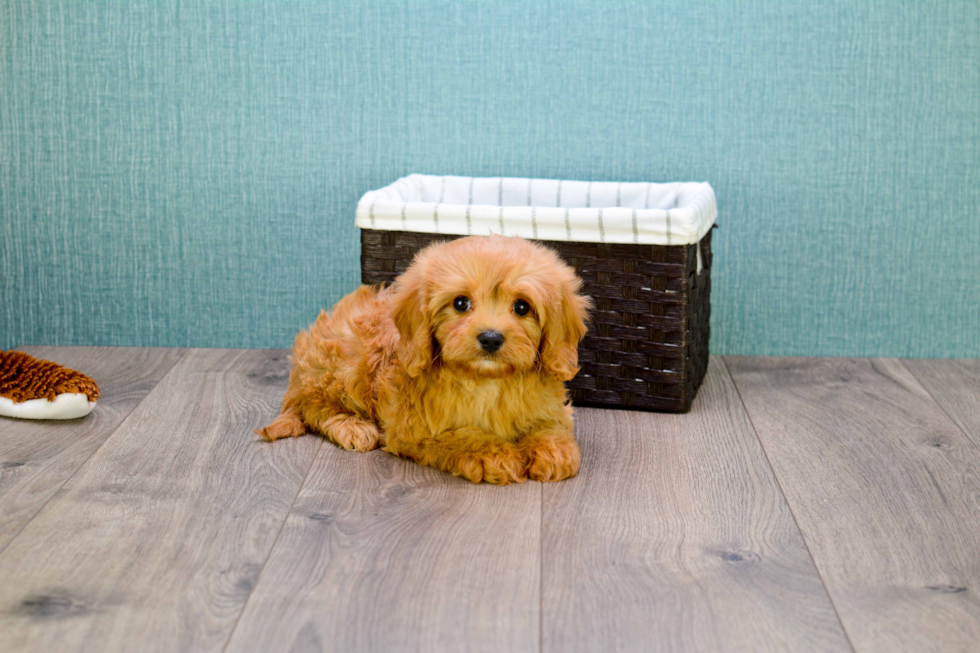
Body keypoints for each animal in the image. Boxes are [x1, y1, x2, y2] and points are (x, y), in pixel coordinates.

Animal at [256, 234, 588, 484]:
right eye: (460, 303)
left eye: (521, 307)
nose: (491, 338)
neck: (486, 380)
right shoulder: (413, 428)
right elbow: (459, 437)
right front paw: (493, 454)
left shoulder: (551, 406)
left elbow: (552, 425)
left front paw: (553, 450)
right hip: (344, 363)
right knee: (315, 408)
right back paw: (353, 427)